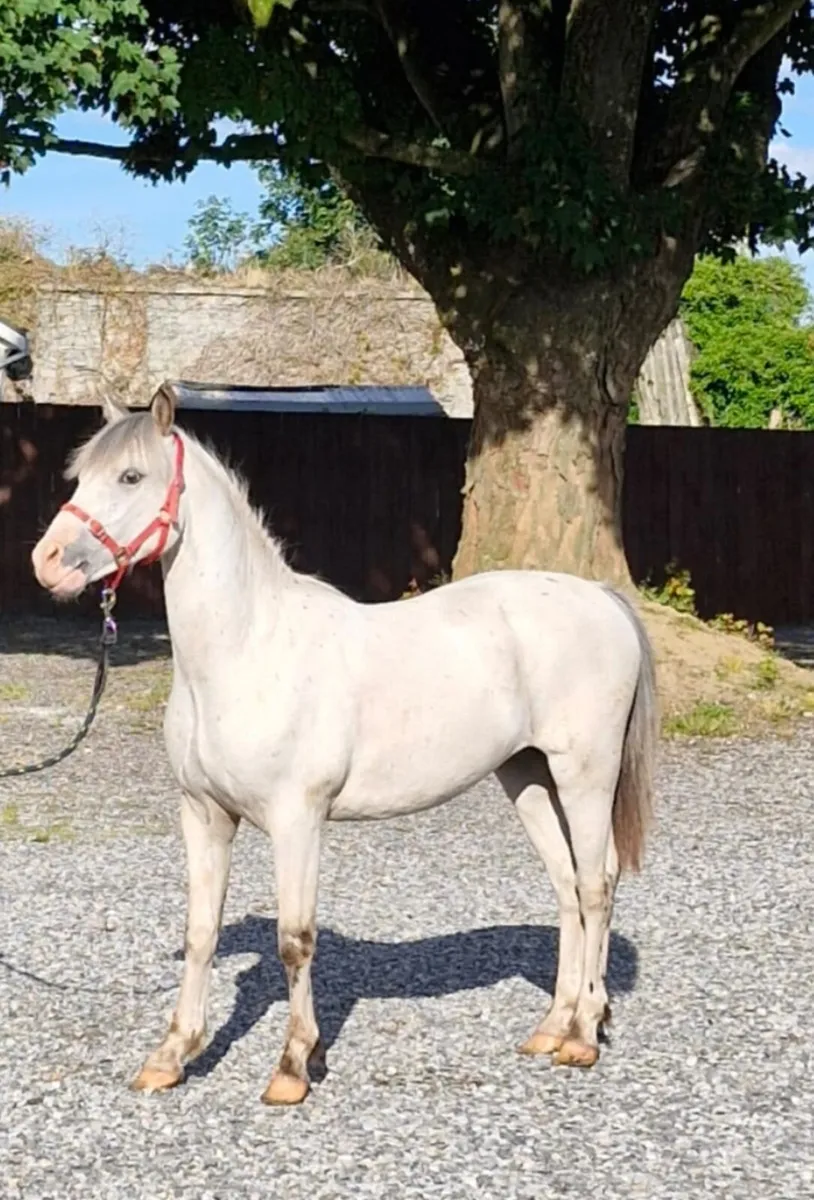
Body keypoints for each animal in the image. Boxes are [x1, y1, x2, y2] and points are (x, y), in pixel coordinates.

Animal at [31, 383, 658, 1106]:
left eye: (131, 477)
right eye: (82, 477)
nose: (47, 561)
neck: (245, 647)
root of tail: (602, 598)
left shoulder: (296, 819)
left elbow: (295, 940)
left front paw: (293, 1066)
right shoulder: (203, 814)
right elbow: (200, 932)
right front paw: (172, 1055)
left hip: (584, 775)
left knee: (595, 884)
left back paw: (583, 1034)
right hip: (526, 776)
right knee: (566, 886)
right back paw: (553, 1027)